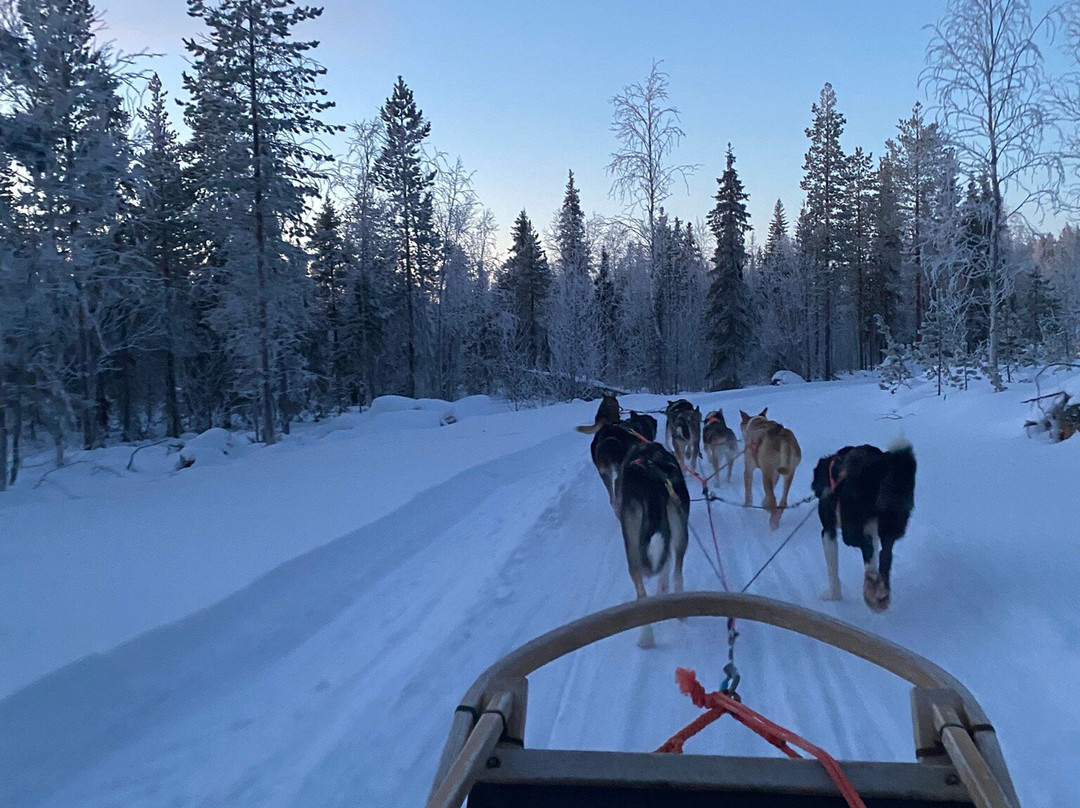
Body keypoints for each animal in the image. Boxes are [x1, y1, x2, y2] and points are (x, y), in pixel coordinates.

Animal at [812, 442, 915, 613]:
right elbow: (873, 557)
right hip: (889, 525)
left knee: (867, 550)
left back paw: (872, 585)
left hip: (850, 532)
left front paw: (833, 595)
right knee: (884, 557)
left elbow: (832, 569)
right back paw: (880, 593)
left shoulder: (828, 531)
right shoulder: (872, 531)